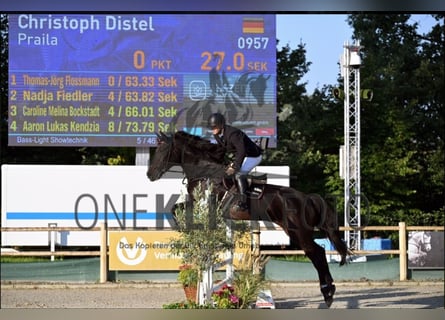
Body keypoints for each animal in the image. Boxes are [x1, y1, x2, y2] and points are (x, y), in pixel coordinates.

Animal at [147, 131, 352, 308]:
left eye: (162, 150)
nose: (150, 175)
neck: (205, 171)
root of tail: (308, 198)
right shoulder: (196, 203)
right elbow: (175, 208)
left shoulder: (206, 203)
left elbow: (179, 210)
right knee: (319, 252)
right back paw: (329, 291)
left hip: (298, 232)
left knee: (317, 253)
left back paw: (328, 293)